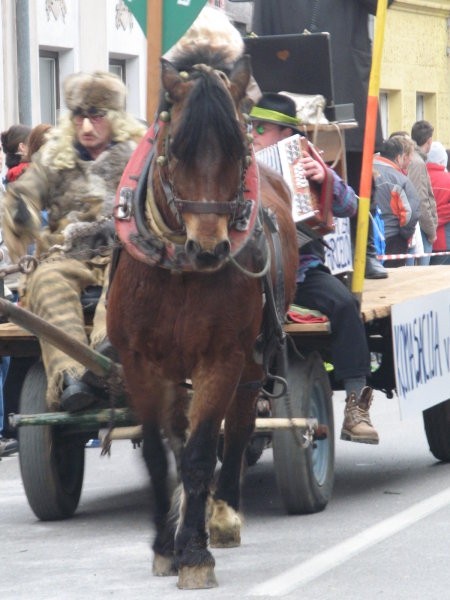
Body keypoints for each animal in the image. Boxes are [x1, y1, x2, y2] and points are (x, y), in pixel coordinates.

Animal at [108, 49, 298, 588]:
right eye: (176, 149)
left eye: (239, 149)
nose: (210, 248)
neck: (179, 271)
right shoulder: (139, 363)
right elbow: (159, 453)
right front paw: (163, 545)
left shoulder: (222, 358)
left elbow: (199, 454)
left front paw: (194, 552)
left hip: (253, 360)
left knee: (237, 427)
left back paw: (224, 513)